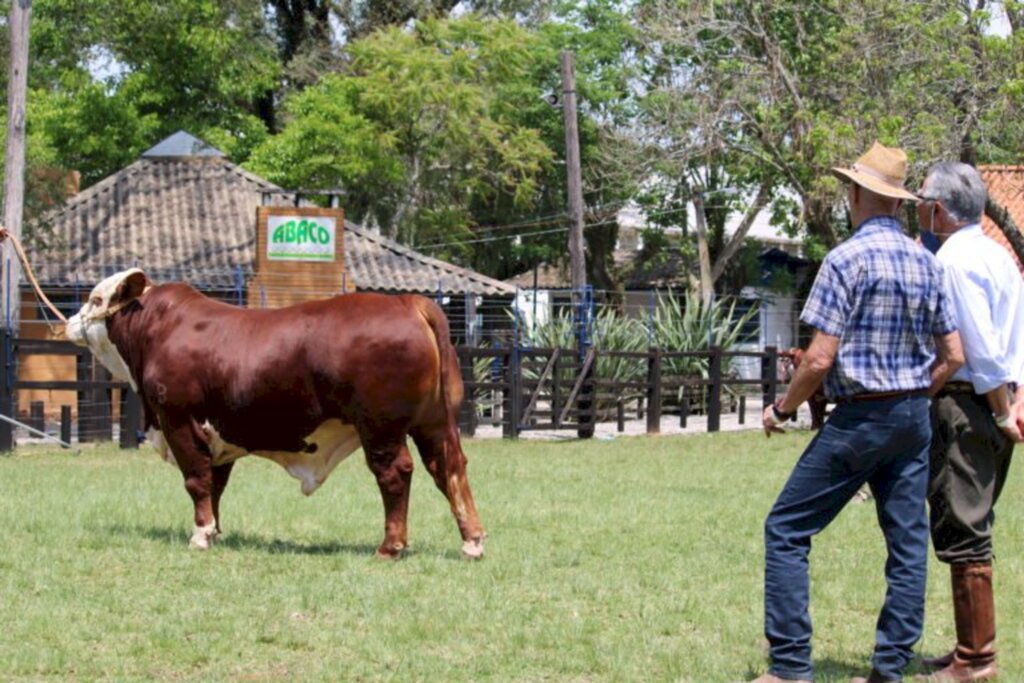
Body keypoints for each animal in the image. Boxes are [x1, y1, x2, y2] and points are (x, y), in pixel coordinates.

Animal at [66, 268, 485, 561]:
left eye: (96, 298)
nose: (69, 322)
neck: (157, 330)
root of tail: (409, 302)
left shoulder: (179, 421)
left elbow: (197, 480)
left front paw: (200, 535)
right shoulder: (218, 436)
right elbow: (215, 484)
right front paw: (215, 531)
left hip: (381, 429)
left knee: (396, 473)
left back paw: (390, 547)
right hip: (434, 423)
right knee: (449, 468)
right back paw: (472, 542)